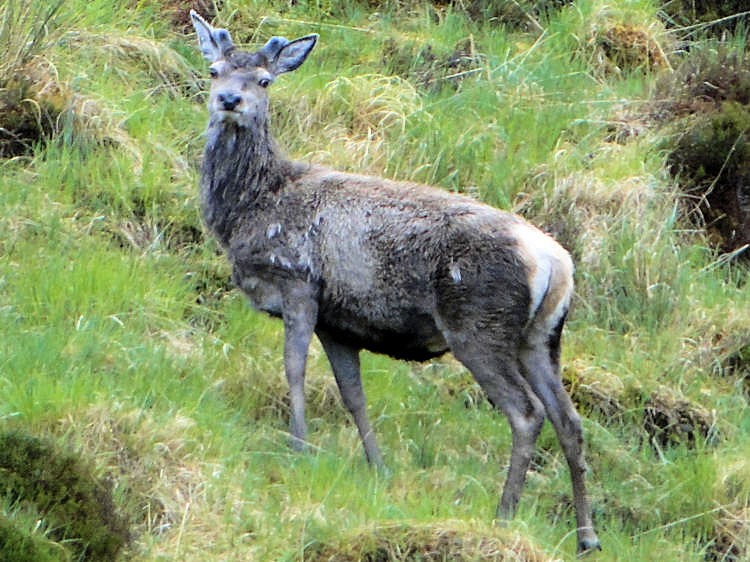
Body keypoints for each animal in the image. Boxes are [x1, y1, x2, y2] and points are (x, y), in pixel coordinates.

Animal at [191, 9, 604, 552]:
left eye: (263, 80)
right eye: (215, 70)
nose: (229, 101)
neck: (252, 208)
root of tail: (556, 263)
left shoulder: (298, 280)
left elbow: (293, 370)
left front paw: (298, 446)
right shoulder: (339, 323)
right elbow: (353, 395)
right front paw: (377, 466)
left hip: (478, 323)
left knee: (527, 412)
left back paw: (505, 513)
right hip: (542, 338)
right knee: (569, 419)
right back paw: (587, 536)